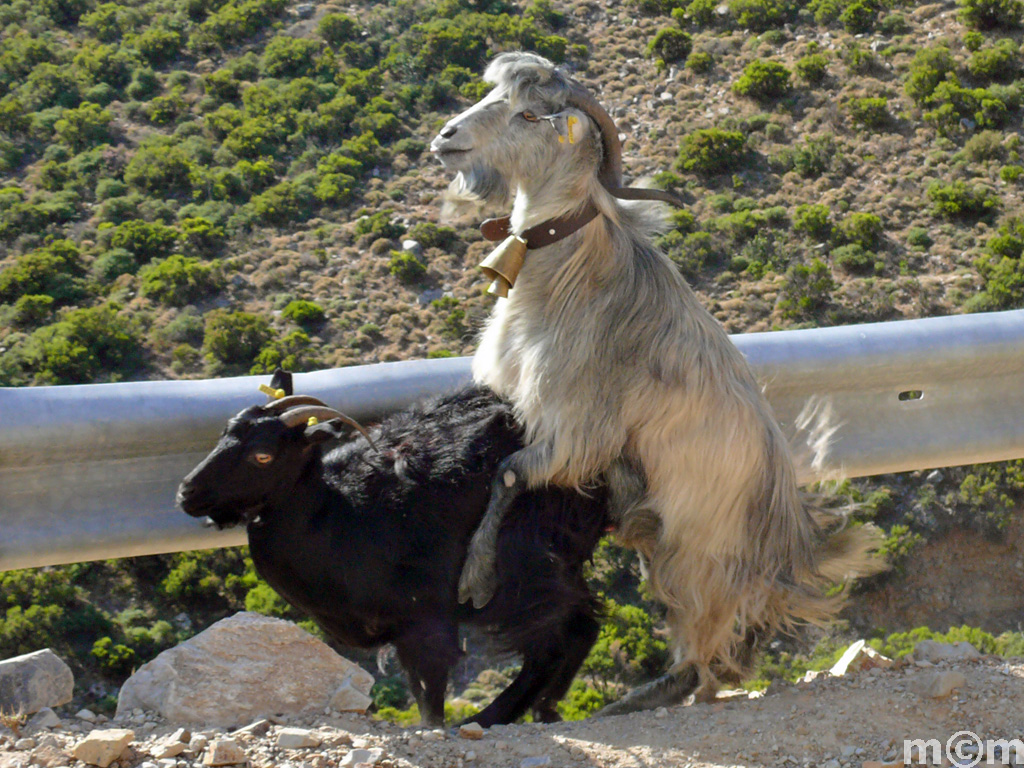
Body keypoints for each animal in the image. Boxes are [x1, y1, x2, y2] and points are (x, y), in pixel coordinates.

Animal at [177, 382, 606, 729]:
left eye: (262, 456)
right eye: (224, 432)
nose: (186, 493)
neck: (339, 513)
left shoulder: (424, 620)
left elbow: (431, 697)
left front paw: (438, 728)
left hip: (522, 565)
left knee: (555, 639)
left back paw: (492, 716)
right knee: (582, 624)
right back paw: (543, 708)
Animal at [432, 52, 880, 716]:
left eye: (530, 113)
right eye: (491, 94)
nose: (447, 137)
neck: (567, 275)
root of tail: (791, 541)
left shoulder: (575, 435)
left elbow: (507, 473)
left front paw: (475, 578)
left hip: (691, 561)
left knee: (699, 663)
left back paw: (627, 704)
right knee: (726, 658)